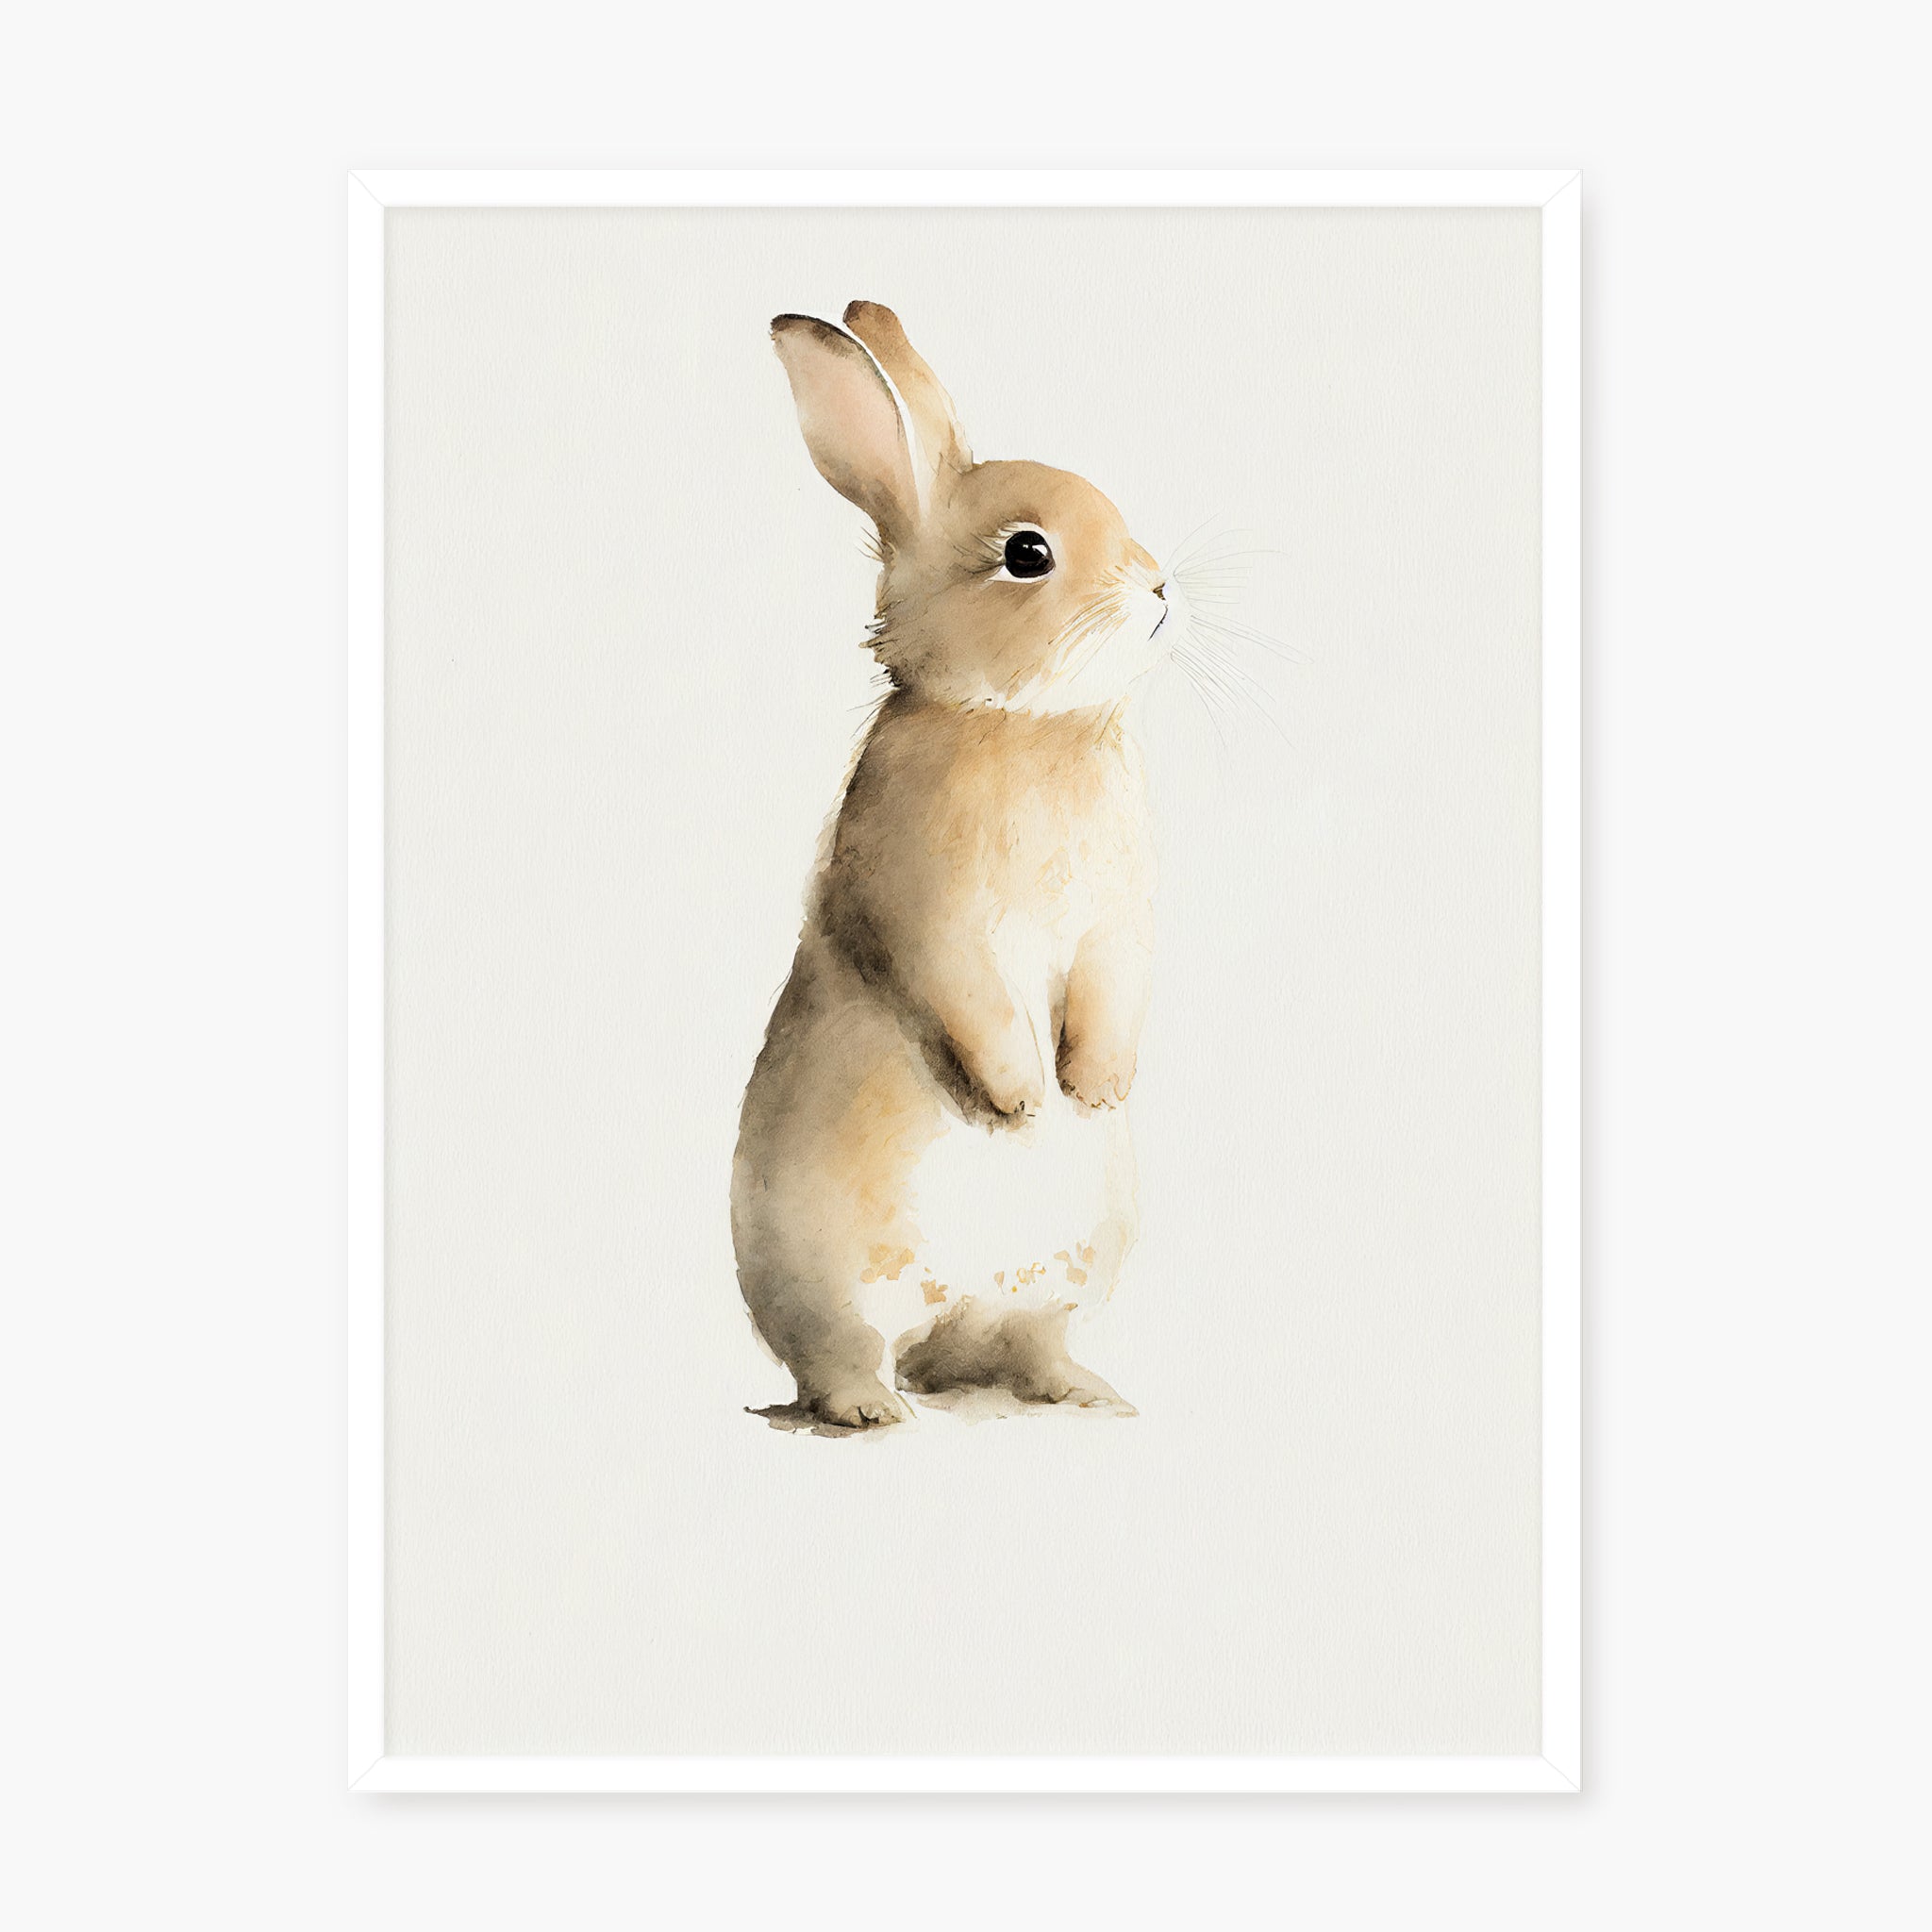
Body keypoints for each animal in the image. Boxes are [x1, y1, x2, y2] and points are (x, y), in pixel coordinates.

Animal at [733, 301, 1169, 1432]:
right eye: (1026, 553)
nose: (1160, 590)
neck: (1016, 721)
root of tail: (948, 1317)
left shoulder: (1117, 922)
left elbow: (1113, 987)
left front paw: (1092, 1088)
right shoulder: (927, 911)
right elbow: (967, 995)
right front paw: (1022, 1100)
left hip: (1068, 1274)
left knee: (1021, 1345)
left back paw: (1087, 1394)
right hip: (829, 1271)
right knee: (846, 1352)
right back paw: (870, 1412)